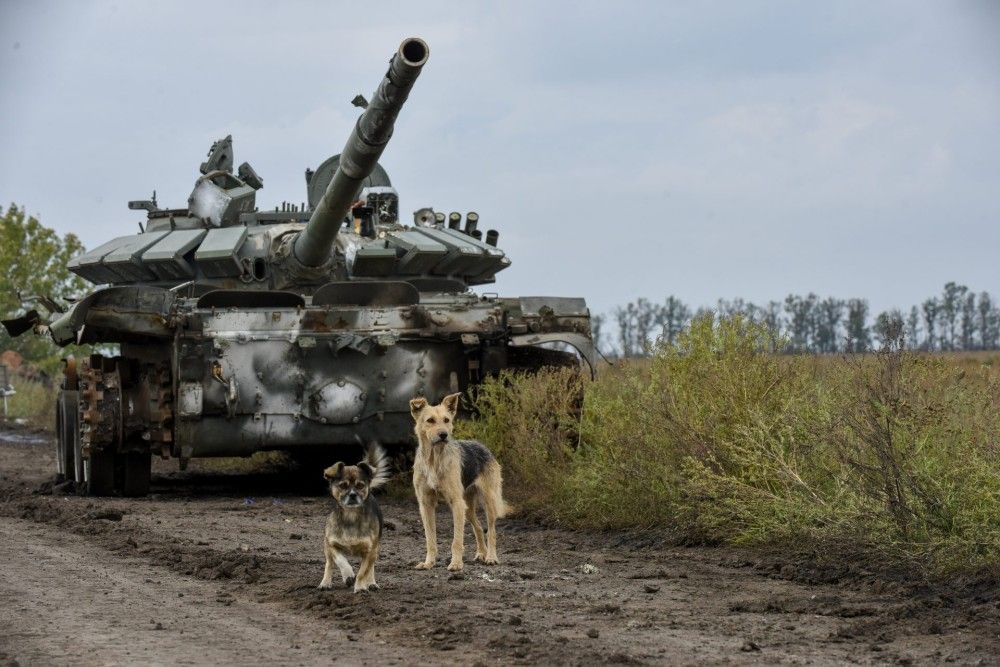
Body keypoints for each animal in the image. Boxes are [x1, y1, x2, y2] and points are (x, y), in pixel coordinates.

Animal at [316, 446, 390, 592]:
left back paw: (371, 583)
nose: (352, 495)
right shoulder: (331, 544)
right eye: (343, 486)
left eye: (360, 485)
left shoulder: (369, 551)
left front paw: (360, 587)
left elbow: (363, 572)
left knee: (371, 567)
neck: (351, 516)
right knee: (329, 564)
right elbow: (340, 560)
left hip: (376, 549)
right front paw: (348, 575)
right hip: (327, 548)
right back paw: (325, 582)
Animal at [410, 394, 512, 572]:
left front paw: (456, 563)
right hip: (468, 509)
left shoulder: (456, 504)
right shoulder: (426, 505)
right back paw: (481, 553)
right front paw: (429, 562)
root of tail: (482, 445)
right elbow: (430, 539)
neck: (434, 460)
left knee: (492, 532)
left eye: (446, 420)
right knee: (479, 528)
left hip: (488, 502)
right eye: (430, 420)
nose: (444, 435)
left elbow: (456, 540)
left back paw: (491, 557)